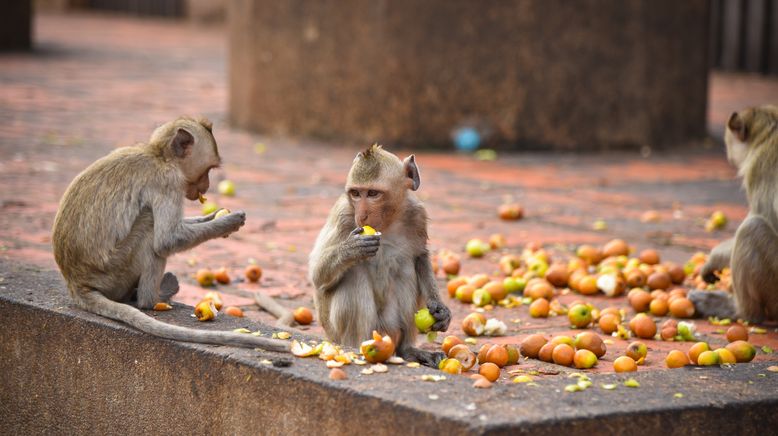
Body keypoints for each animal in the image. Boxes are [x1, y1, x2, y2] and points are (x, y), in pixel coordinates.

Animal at [51, 115, 288, 350]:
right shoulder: (169, 181)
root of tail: (76, 283)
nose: (207, 186)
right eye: (209, 169)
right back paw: (152, 298)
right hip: (114, 272)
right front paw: (228, 223)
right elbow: (168, 240)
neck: (159, 155)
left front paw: (211, 217)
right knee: (149, 223)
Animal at [304, 145, 446, 366]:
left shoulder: (417, 214)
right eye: (355, 193)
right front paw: (351, 249)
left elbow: (419, 257)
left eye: (372, 193)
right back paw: (360, 349)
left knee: (405, 268)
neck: (387, 222)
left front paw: (440, 309)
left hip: (390, 329)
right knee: (354, 276)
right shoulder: (343, 215)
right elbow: (317, 275)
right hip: (342, 333)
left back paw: (407, 351)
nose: (362, 216)